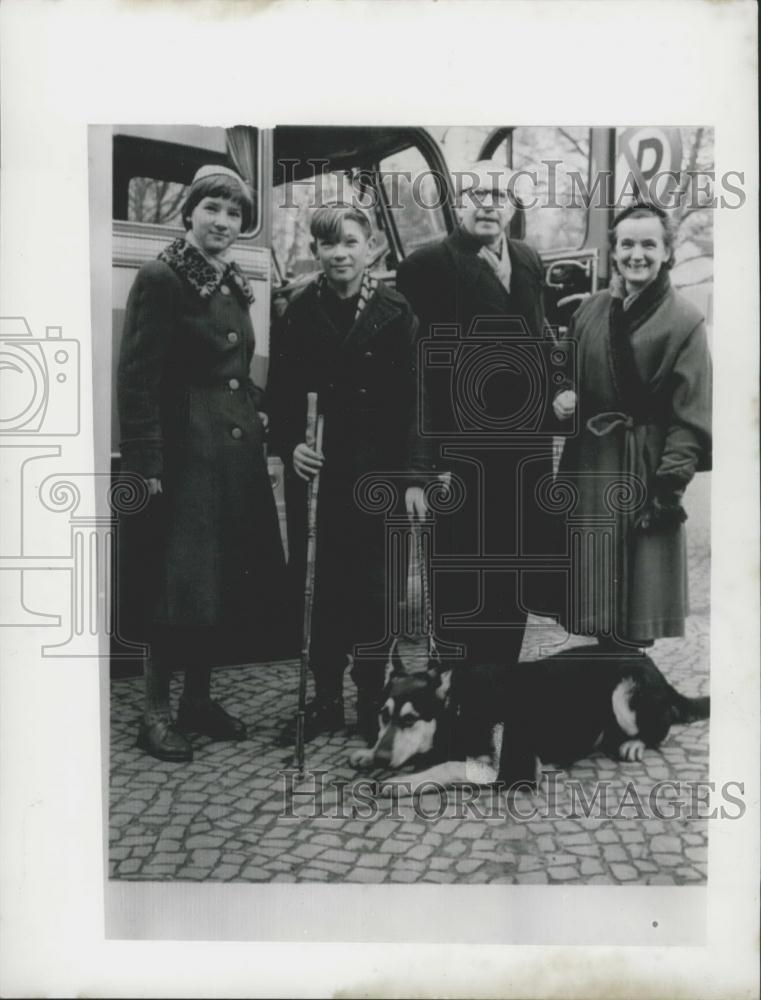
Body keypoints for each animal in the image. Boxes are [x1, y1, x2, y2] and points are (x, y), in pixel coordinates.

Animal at [348, 636, 708, 792]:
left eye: (410, 720)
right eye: (383, 715)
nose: (381, 759)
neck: (459, 707)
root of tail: (651, 662)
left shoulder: (515, 766)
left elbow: (448, 765)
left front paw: (404, 781)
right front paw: (366, 753)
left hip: (623, 695)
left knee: (662, 728)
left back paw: (634, 744)